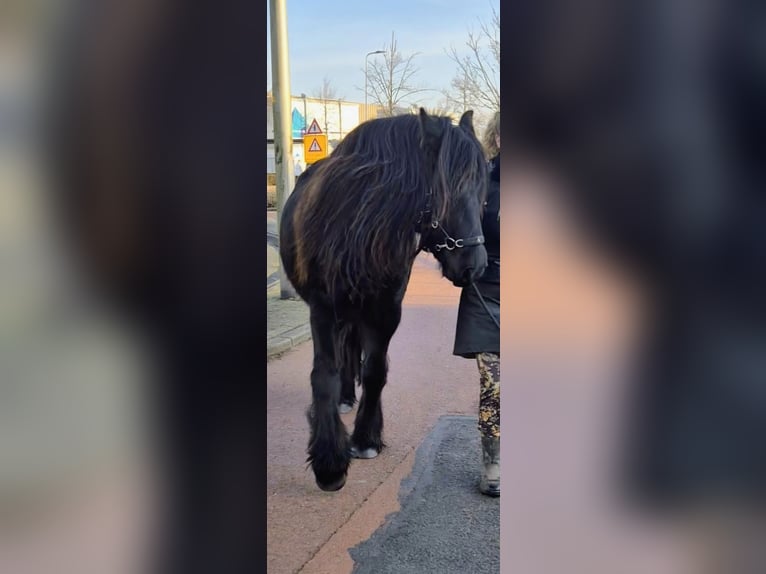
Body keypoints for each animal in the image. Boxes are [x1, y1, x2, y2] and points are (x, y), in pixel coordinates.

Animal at [280, 108, 489, 491]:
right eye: (447, 192)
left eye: (482, 189)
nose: (475, 265)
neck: (355, 226)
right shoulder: (323, 310)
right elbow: (324, 375)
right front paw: (330, 464)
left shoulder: (386, 310)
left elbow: (375, 371)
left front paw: (365, 439)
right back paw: (345, 400)